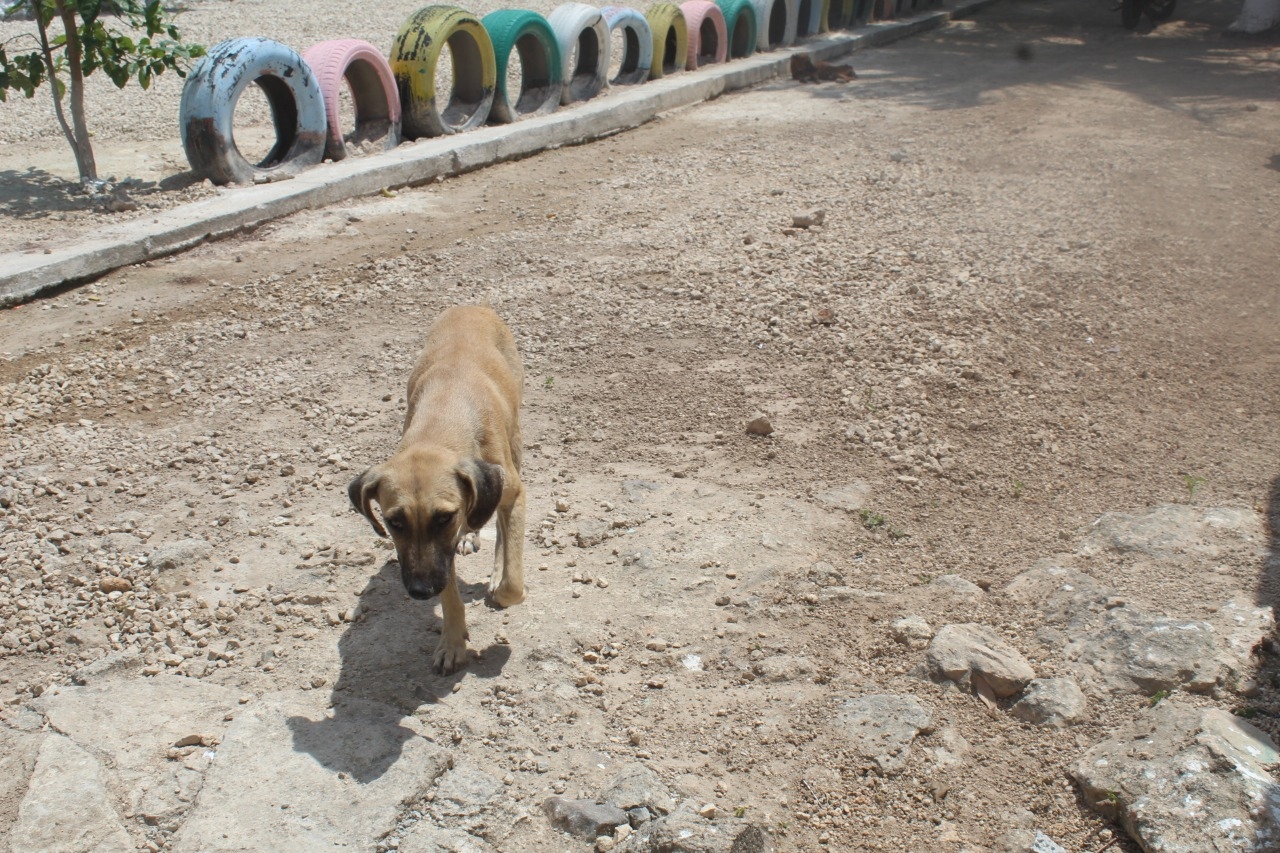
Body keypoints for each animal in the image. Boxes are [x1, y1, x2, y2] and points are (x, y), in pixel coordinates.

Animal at [345, 303, 524, 671]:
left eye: (443, 518)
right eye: (394, 522)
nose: (420, 591)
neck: (442, 420)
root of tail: (475, 305)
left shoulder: (510, 494)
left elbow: (513, 582)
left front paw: (501, 582)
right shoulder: (438, 555)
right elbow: (450, 596)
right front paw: (452, 643)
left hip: (515, 439)